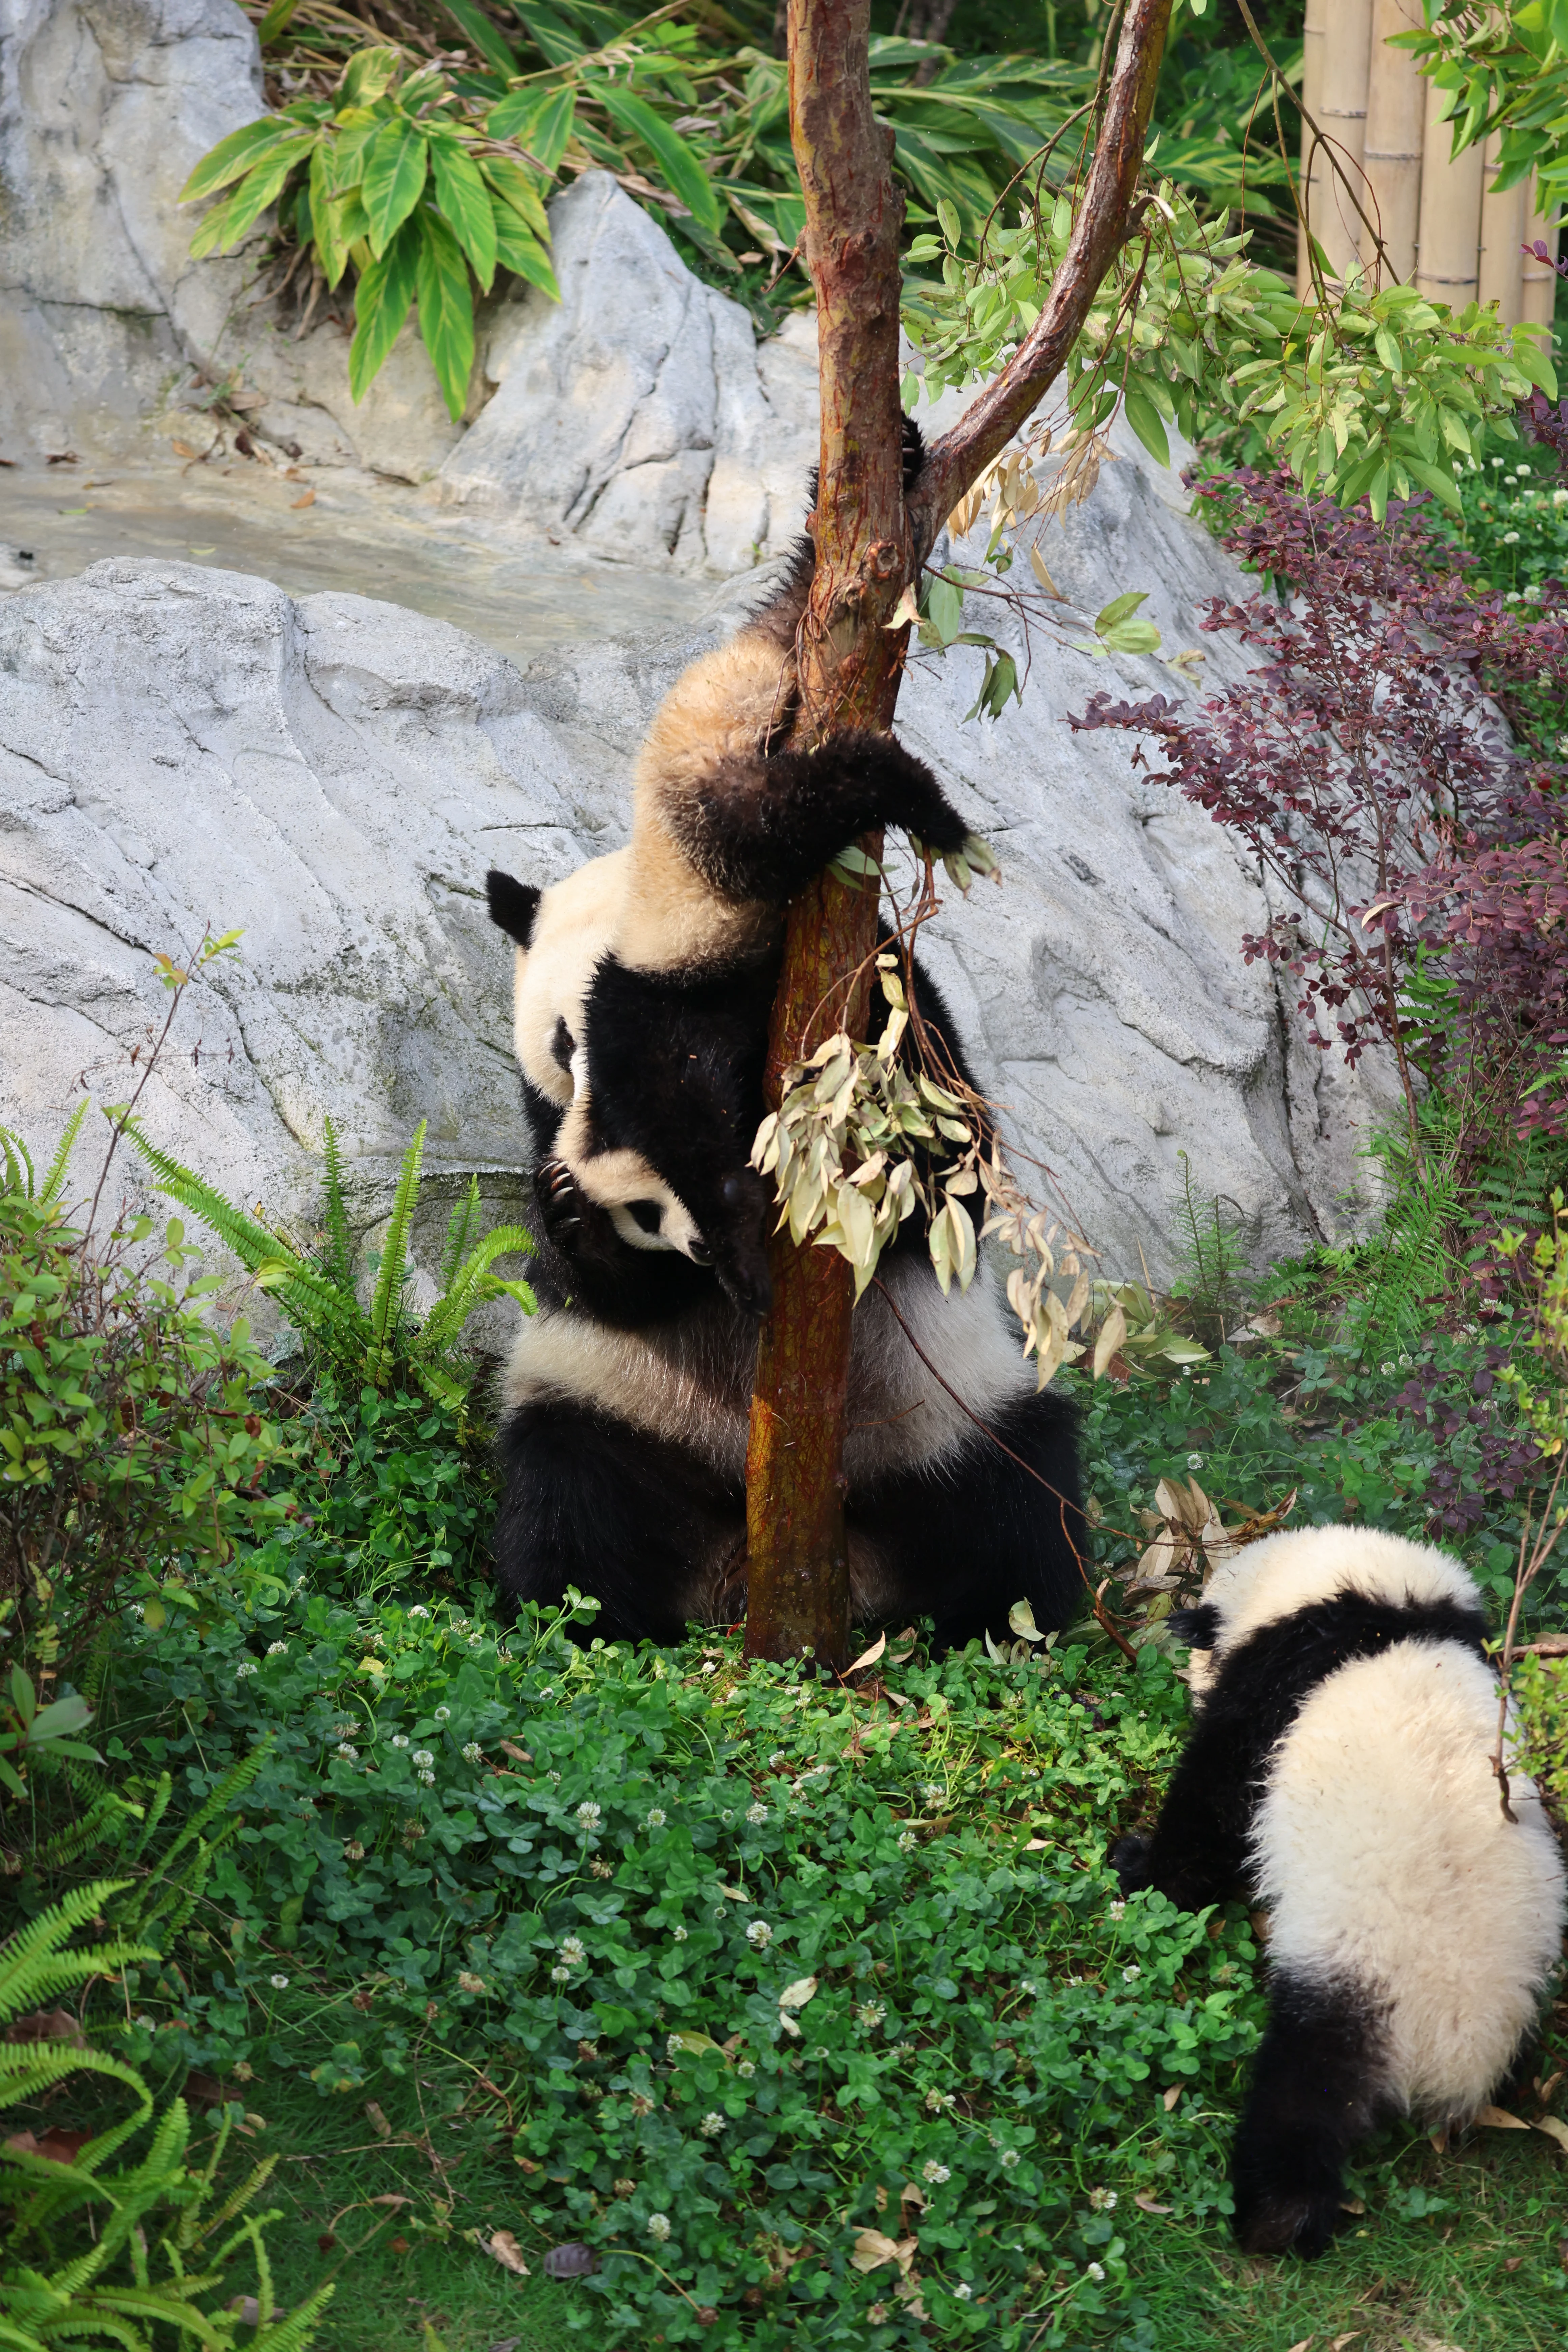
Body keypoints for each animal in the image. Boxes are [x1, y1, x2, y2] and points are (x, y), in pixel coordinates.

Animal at [481, 851, 1086, 1653]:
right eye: (562, 1041)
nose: (592, 1146)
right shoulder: (550, 1119)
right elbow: (621, 1293)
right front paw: (569, 1206)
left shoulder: (886, 1006)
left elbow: (941, 1169)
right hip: (622, 1411)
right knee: (570, 1500)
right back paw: (594, 1627)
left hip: (945, 1420)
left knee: (1017, 1502)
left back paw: (998, 1629)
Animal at [1114, 1526, 1566, 2258]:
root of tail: (1455, 2050)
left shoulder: (1275, 1686)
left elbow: (1214, 1800)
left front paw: (1139, 1868)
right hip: (1524, 1981)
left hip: (1351, 1984)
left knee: (1302, 2098)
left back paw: (1275, 2216)